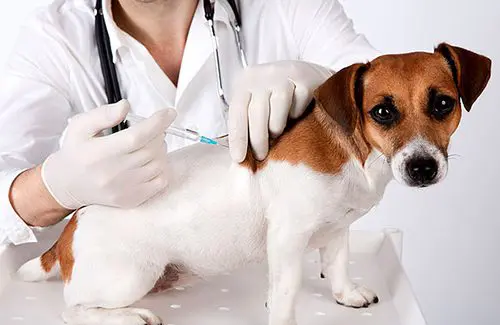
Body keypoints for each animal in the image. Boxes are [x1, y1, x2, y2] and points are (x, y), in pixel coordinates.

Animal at [16, 43, 492, 324]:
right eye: (383, 112)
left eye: (443, 104)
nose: (422, 167)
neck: (357, 155)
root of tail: (71, 229)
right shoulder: (287, 238)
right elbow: (285, 294)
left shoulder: (337, 229)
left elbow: (338, 264)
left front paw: (345, 294)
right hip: (129, 277)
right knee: (74, 310)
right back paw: (126, 317)